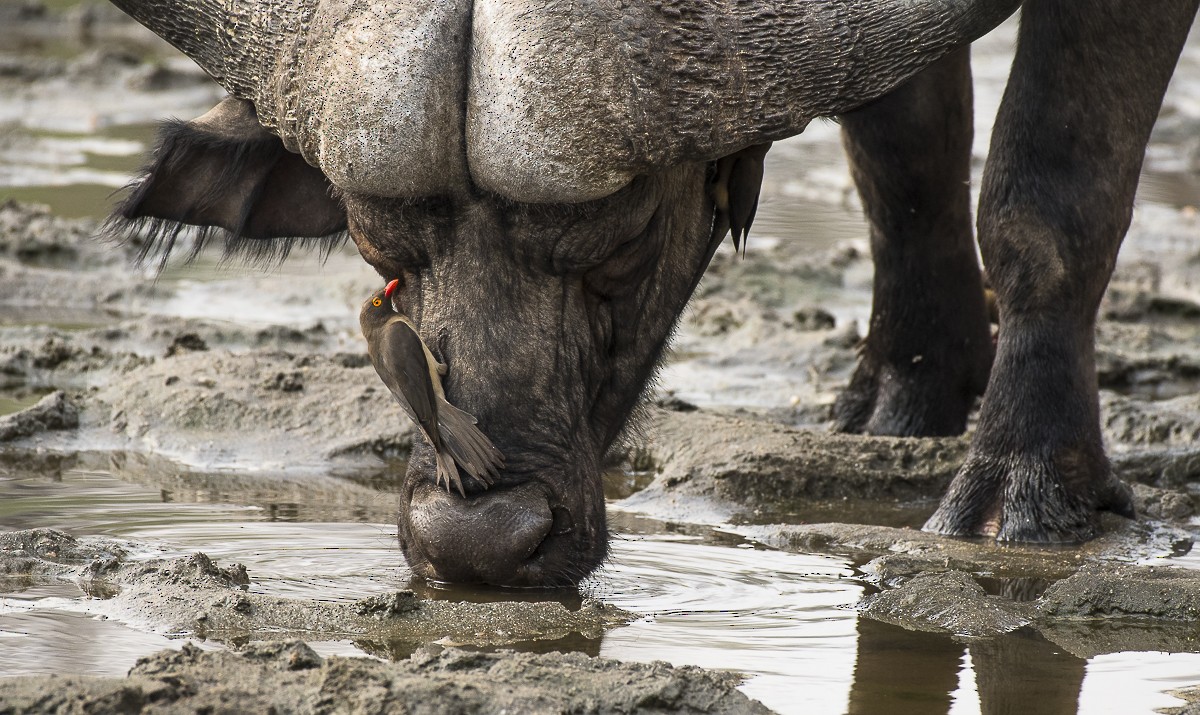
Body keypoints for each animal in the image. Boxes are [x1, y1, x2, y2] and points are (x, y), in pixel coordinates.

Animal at [105, 0, 1200, 583]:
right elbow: (901, 155)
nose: (476, 543)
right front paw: (910, 389)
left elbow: (1046, 198)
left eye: (621, 240)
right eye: (382, 253)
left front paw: (1024, 487)